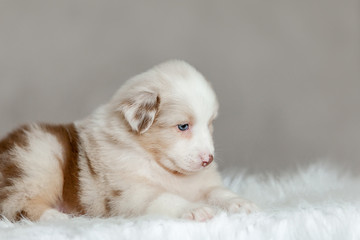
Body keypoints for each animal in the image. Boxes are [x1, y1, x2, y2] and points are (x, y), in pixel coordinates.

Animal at [0, 60, 258, 221]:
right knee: (16, 205)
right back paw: (57, 217)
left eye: (210, 124)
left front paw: (241, 203)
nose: (208, 160)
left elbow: (217, 191)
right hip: (39, 159)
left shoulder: (199, 184)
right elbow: (165, 198)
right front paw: (195, 210)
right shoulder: (130, 194)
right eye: (183, 126)